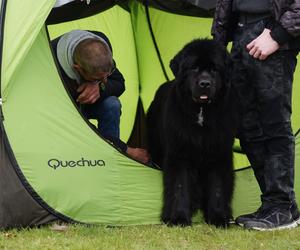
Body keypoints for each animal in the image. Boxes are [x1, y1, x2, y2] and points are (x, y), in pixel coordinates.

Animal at [147, 38, 237, 227]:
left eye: (214, 69)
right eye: (194, 68)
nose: (205, 83)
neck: (201, 112)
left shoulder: (220, 154)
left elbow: (218, 187)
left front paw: (218, 218)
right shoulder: (179, 154)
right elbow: (179, 186)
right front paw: (178, 218)